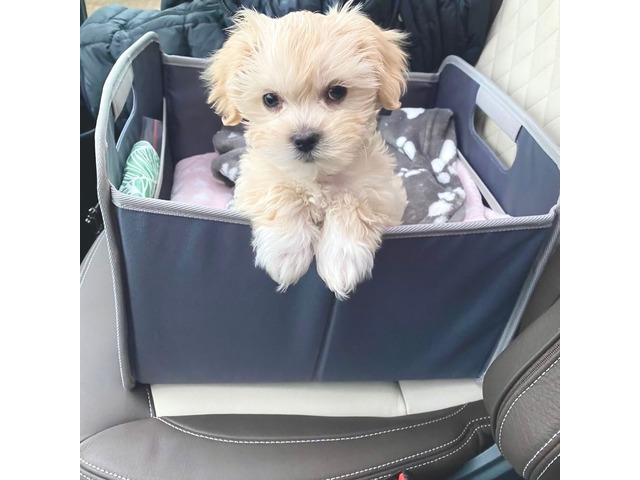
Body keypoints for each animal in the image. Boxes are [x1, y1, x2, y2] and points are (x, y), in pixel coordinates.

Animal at [202, 1, 408, 298]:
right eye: (270, 99)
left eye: (337, 92)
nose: (304, 138)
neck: (317, 177)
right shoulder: (256, 181)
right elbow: (280, 191)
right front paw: (285, 252)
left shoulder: (383, 193)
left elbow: (354, 199)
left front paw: (342, 259)